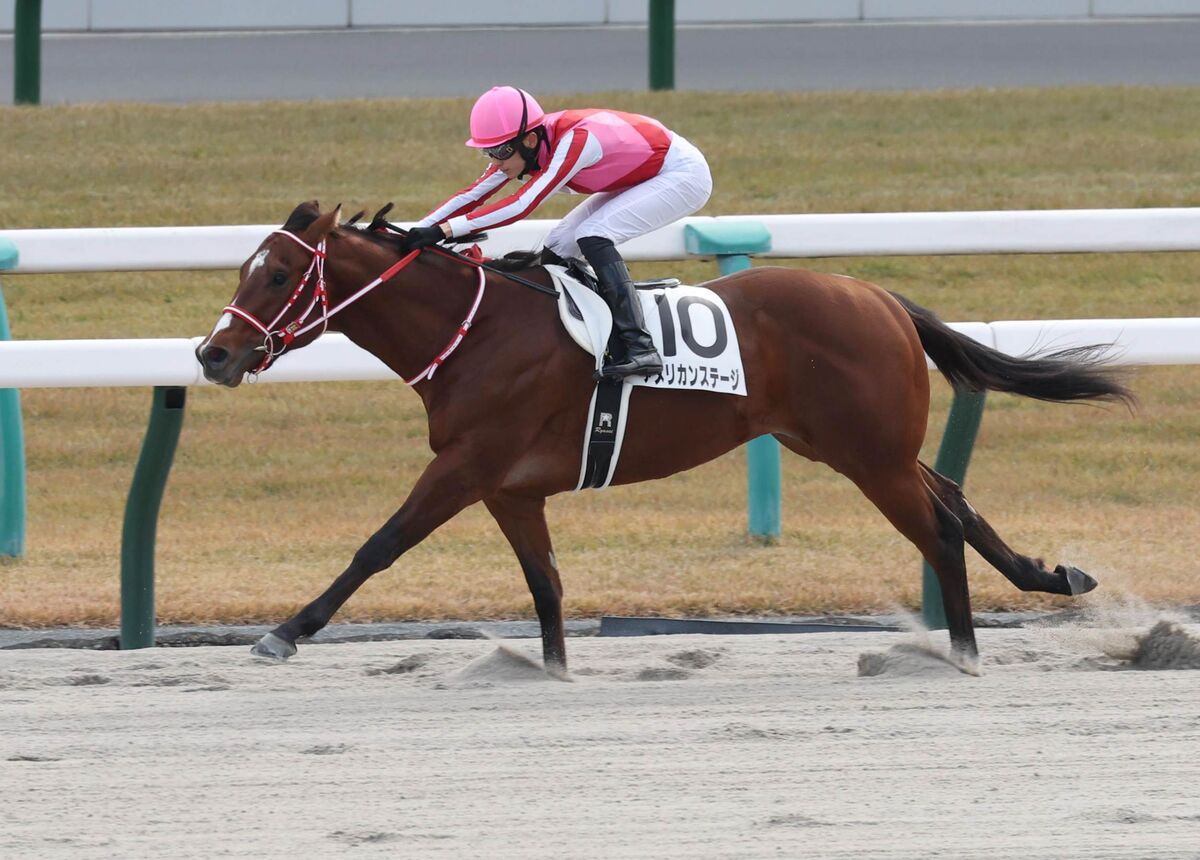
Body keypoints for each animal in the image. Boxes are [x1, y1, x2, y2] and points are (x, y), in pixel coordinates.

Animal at [196, 202, 1132, 671]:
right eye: (245, 269)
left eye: (278, 275)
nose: (213, 353)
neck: (474, 329)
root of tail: (882, 298)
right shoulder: (510, 487)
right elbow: (545, 584)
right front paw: (554, 668)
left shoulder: (467, 466)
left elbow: (377, 546)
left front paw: (287, 631)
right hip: (855, 446)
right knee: (956, 497)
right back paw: (1053, 576)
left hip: (868, 454)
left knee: (937, 528)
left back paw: (964, 653)